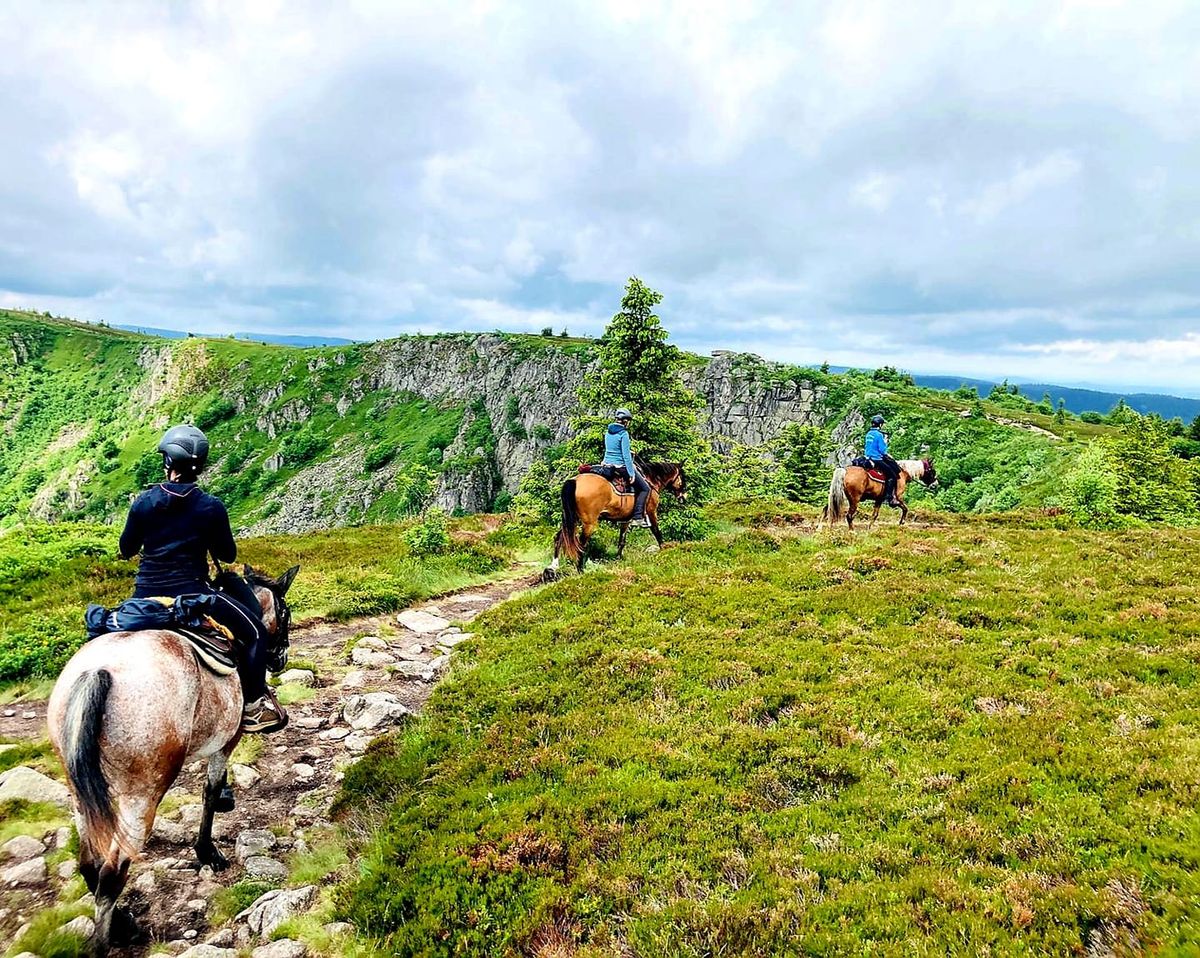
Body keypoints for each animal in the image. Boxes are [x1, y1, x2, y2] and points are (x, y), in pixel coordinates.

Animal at [49, 566, 297, 955]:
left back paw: (123, 923)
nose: (281, 657)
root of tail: (97, 672)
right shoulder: (228, 738)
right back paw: (111, 938)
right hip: (141, 795)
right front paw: (208, 851)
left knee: (89, 864)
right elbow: (210, 790)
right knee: (112, 872)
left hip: (79, 793)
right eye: (285, 613)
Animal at [549, 460, 686, 573]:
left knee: (559, 537)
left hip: (572, 519)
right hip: (589, 523)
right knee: (581, 545)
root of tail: (575, 481)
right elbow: (657, 532)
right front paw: (664, 550)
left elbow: (622, 541)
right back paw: (580, 570)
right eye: (683, 477)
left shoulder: (625, 520)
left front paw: (619, 558)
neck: (651, 480)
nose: (683, 498)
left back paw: (554, 565)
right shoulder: (651, 511)